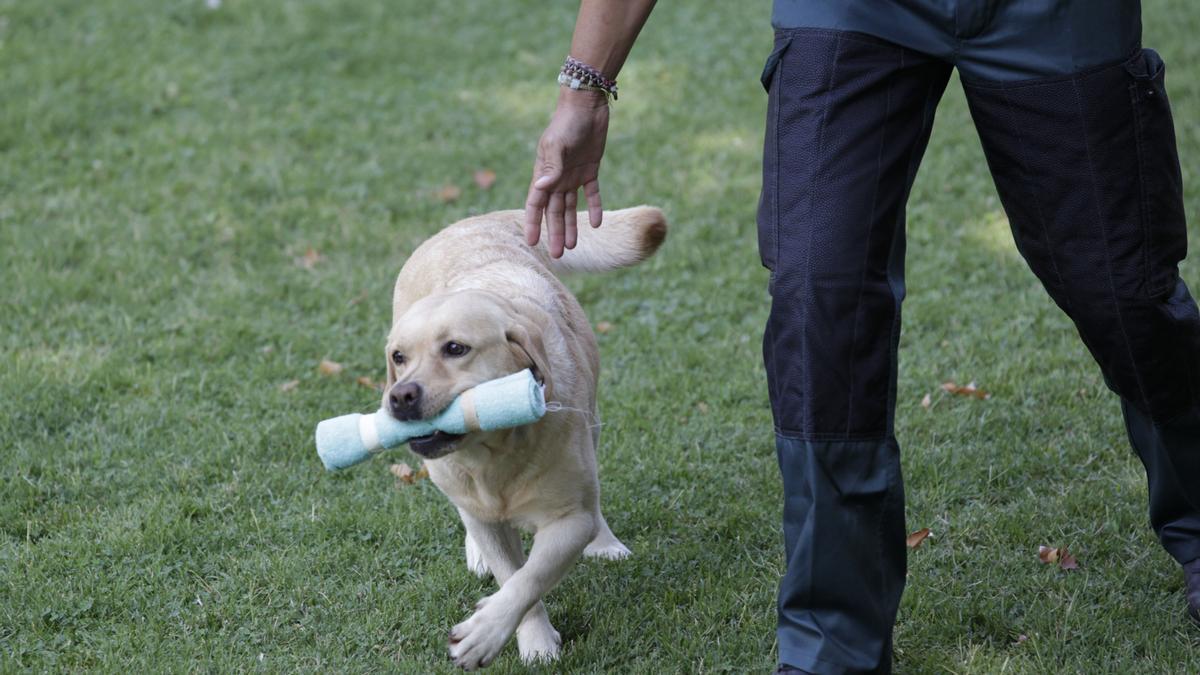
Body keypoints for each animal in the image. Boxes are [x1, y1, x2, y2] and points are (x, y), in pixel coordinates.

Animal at [381, 206, 667, 667]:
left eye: (456, 348)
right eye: (398, 357)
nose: (400, 396)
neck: (494, 454)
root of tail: (478, 220)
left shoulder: (569, 521)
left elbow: (529, 579)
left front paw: (488, 632)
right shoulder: (486, 512)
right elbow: (512, 574)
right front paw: (533, 639)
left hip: (592, 424)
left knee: (594, 497)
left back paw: (605, 542)